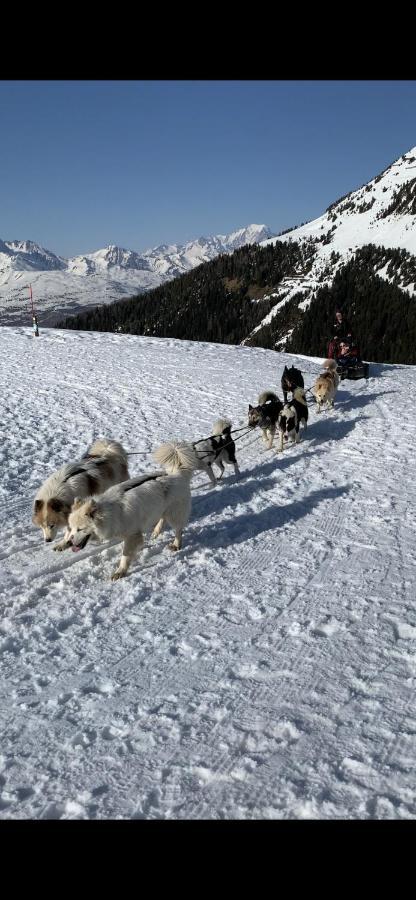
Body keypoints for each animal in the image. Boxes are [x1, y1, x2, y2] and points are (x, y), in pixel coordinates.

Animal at [67, 440, 198, 580]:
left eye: (80, 529)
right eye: (71, 528)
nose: (69, 543)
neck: (111, 512)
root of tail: (177, 475)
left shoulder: (132, 535)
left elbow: (125, 556)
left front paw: (120, 572)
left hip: (174, 514)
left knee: (178, 530)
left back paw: (176, 545)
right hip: (162, 509)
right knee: (162, 519)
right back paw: (156, 532)